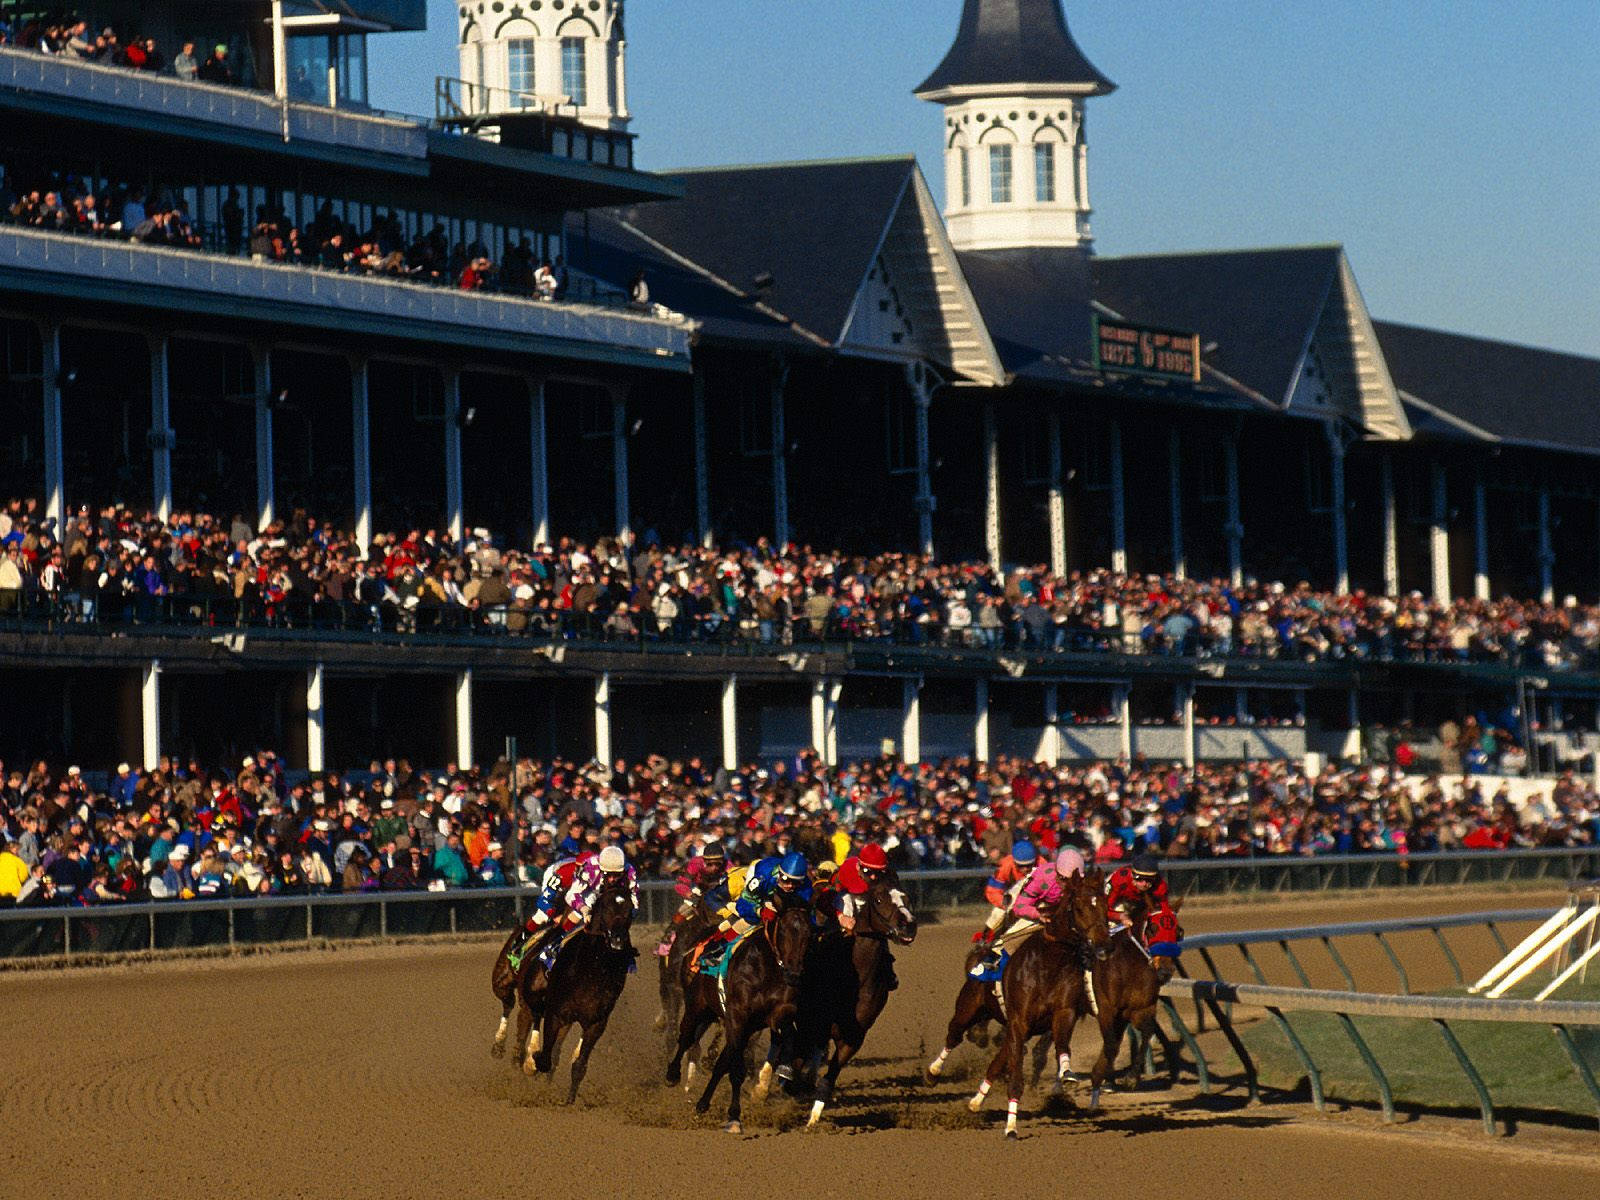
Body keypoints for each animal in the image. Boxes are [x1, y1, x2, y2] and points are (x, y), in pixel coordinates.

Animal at [662, 896, 812, 1139]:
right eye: (784, 931)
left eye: (809, 933)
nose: (794, 974)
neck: (766, 968)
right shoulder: (737, 1016)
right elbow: (736, 1070)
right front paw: (734, 1117)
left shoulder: (774, 1014)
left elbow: (786, 1032)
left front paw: (786, 1070)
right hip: (697, 1005)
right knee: (686, 1036)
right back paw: (673, 1074)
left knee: (720, 1060)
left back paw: (702, 1103)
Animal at [784, 876, 915, 1126]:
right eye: (879, 899)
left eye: (906, 897)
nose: (908, 924)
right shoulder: (811, 1024)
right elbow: (794, 1063)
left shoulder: (854, 1037)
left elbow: (828, 1078)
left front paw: (813, 1119)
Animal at [960, 876, 1113, 1139]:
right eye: (1079, 907)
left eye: (1105, 904)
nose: (1104, 944)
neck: (1048, 964)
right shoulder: (1019, 1021)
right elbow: (1016, 1080)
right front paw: (1011, 1127)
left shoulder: (1063, 1013)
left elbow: (1061, 1045)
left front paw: (1067, 1074)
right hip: (970, 1007)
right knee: (955, 1034)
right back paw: (934, 1071)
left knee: (998, 1060)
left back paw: (976, 1101)